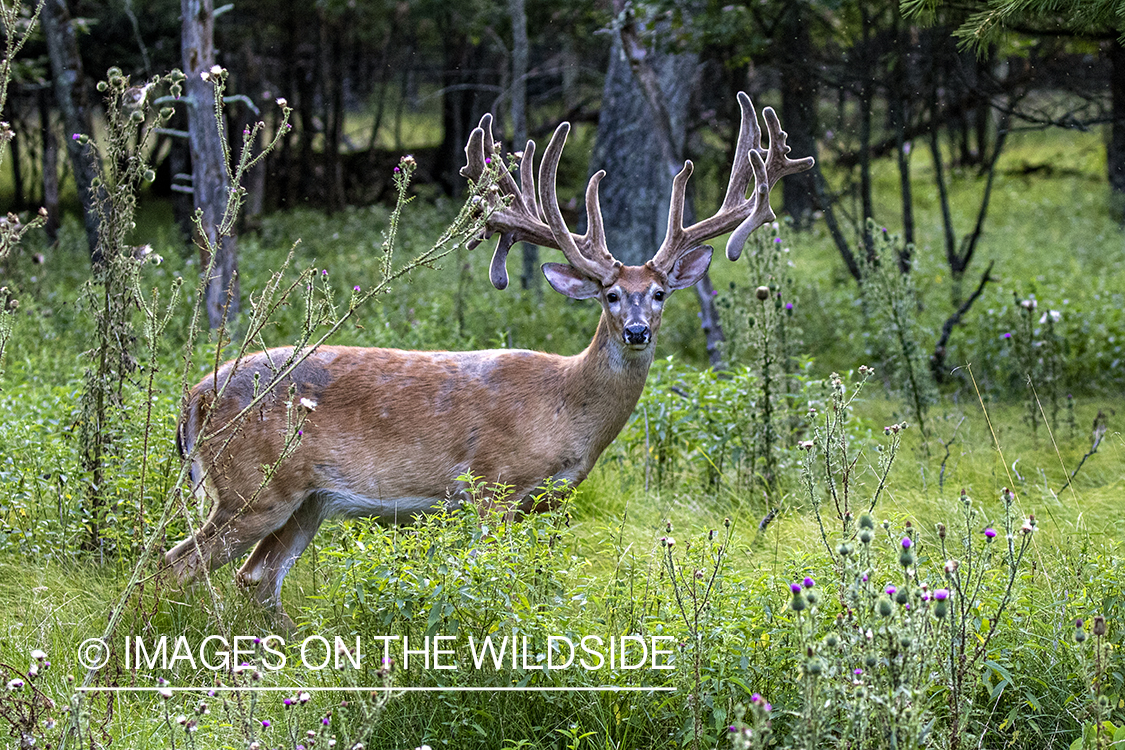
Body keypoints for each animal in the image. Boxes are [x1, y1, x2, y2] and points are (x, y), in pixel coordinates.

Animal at [166, 92, 814, 616]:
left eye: (659, 294)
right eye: (609, 294)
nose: (636, 331)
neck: (566, 408)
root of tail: (193, 398)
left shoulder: (544, 503)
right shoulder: (489, 487)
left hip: (307, 500)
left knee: (256, 578)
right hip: (252, 488)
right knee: (173, 566)